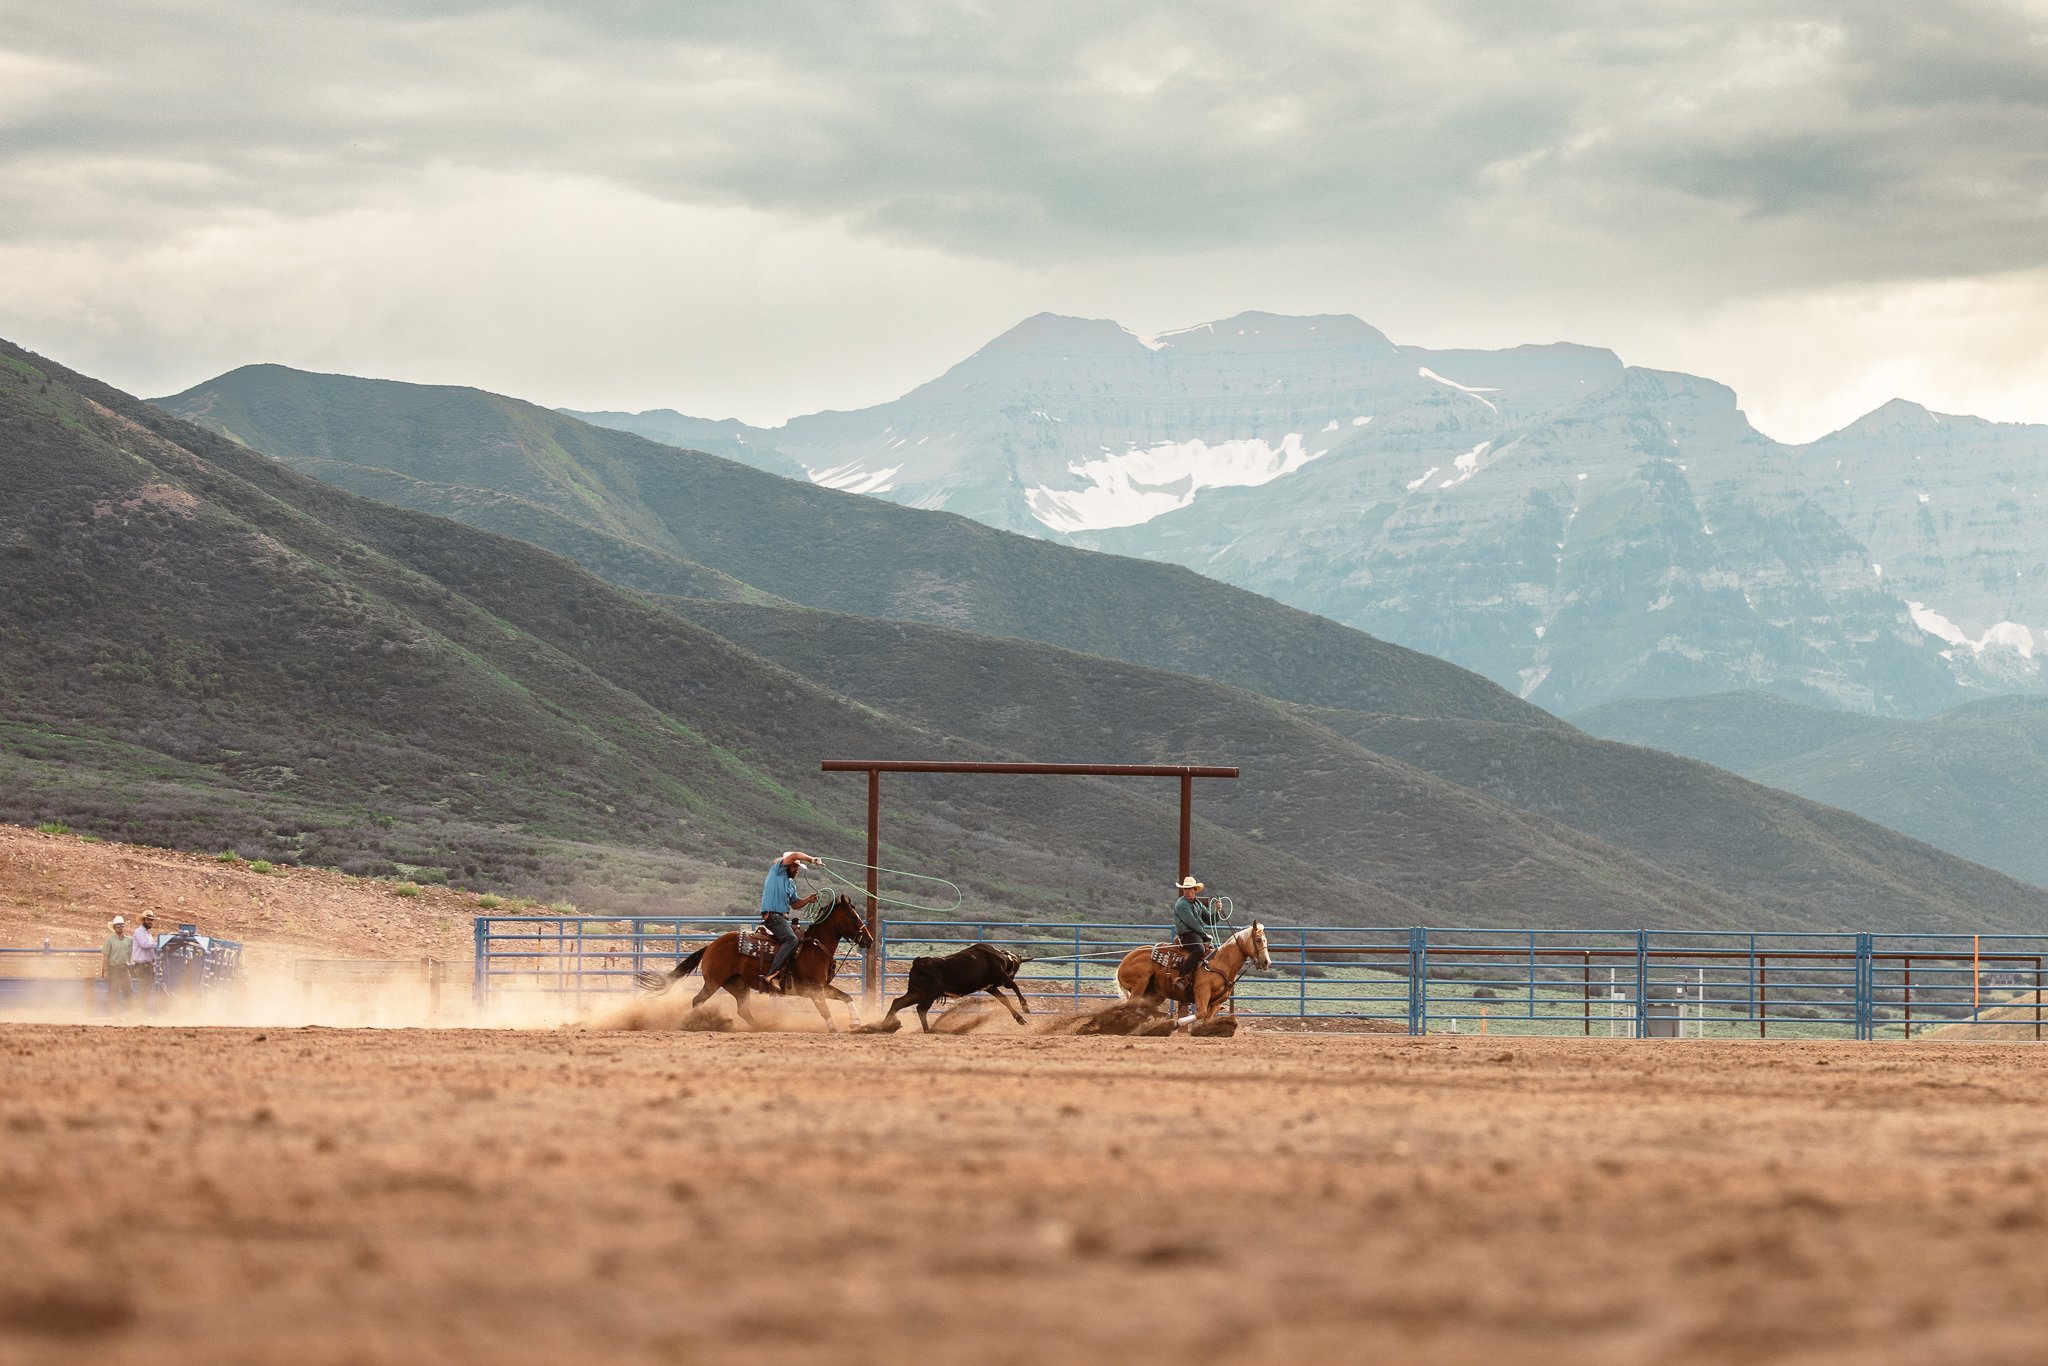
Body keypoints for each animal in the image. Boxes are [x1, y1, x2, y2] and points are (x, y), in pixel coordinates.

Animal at [881, 944, 1031, 1033]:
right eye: (1016, 968)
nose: (1004, 984)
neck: (1001, 957)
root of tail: (919, 962)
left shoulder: (990, 987)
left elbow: (1004, 999)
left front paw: (1019, 1018)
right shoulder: (1001, 974)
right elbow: (1015, 987)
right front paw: (1025, 1007)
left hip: (916, 993)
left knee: (898, 1003)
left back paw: (883, 1025)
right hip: (930, 994)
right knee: (921, 1009)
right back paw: (929, 1030)